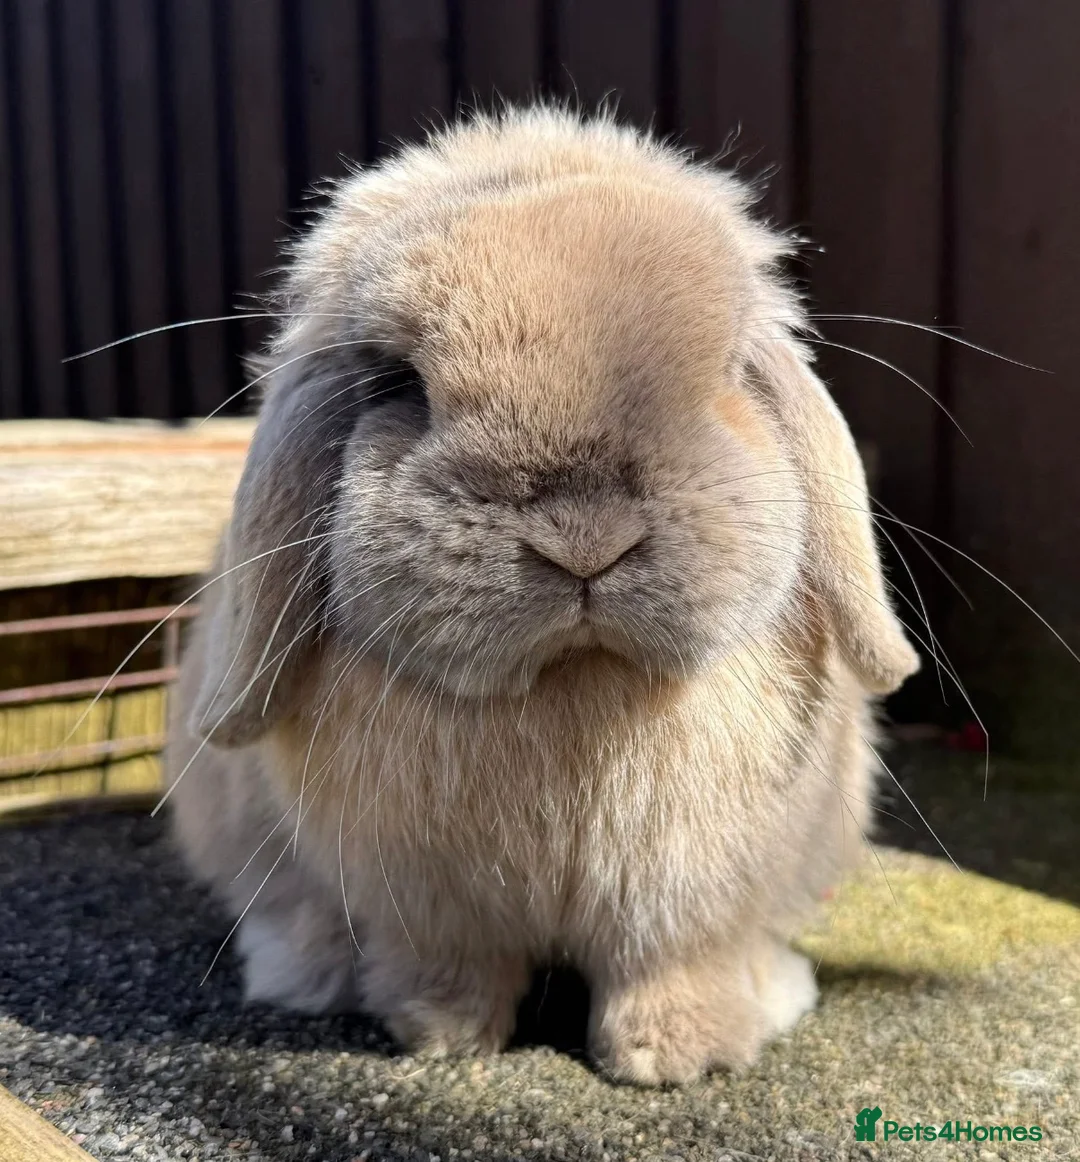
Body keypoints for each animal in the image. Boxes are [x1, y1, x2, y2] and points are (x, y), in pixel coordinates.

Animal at [167, 106, 919, 1085]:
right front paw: (439, 1036)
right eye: (397, 384)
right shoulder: (427, 903)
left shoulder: (689, 897)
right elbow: (450, 967)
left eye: (723, 372)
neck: (575, 681)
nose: (584, 538)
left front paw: (678, 1056)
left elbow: (672, 964)